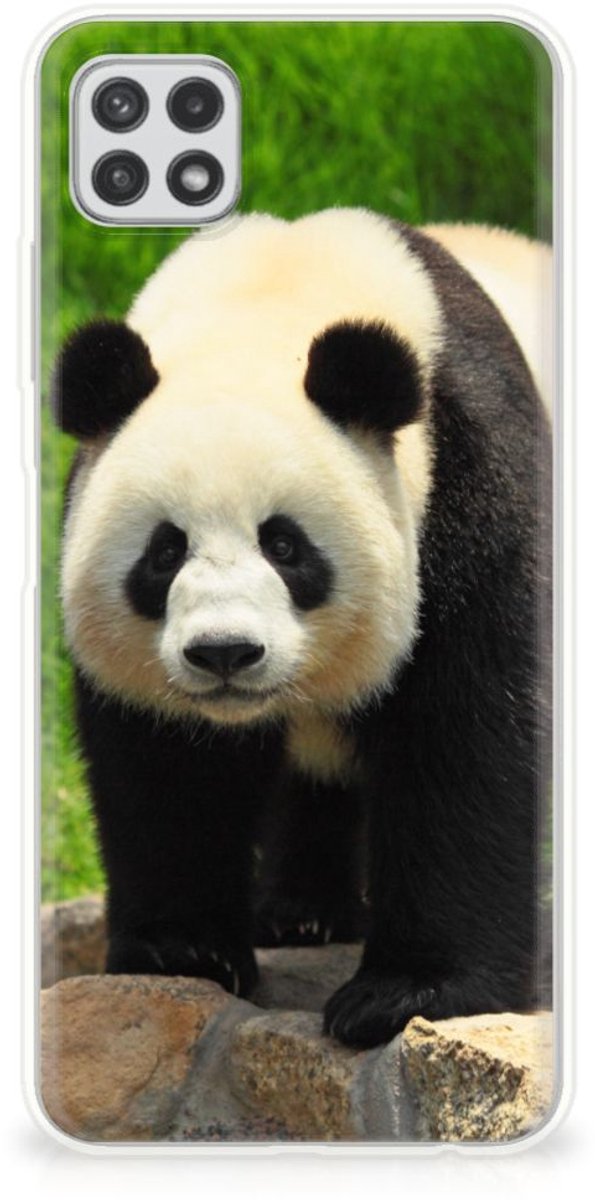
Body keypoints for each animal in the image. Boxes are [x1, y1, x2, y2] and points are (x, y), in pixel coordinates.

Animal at [51, 209, 552, 1049]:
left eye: (284, 546)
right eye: (164, 551)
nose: (224, 653)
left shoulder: (471, 482)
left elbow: (466, 736)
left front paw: (405, 993)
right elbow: (166, 766)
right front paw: (182, 951)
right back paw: (302, 914)